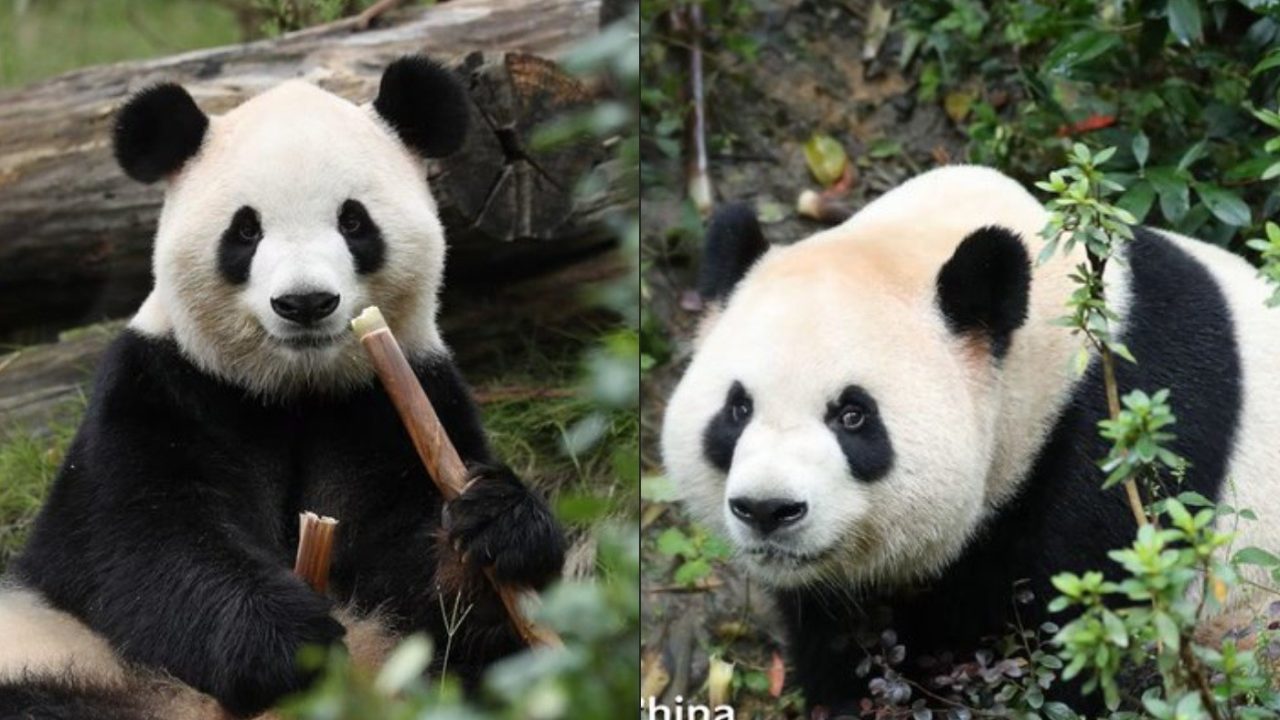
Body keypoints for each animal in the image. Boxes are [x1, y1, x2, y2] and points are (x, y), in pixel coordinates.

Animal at [0, 56, 566, 720]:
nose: (305, 303)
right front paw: (287, 640)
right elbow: (141, 540)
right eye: (246, 231)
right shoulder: (160, 388)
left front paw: (494, 525)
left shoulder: (395, 400)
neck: (296, 389)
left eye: (353, 221)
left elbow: (431, 590)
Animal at [661, 165, 1280, 716]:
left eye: (853, 416)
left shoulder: (1117, 448)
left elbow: (1075, 640)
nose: (767, 509)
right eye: (738, 409)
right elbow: (842, 636)